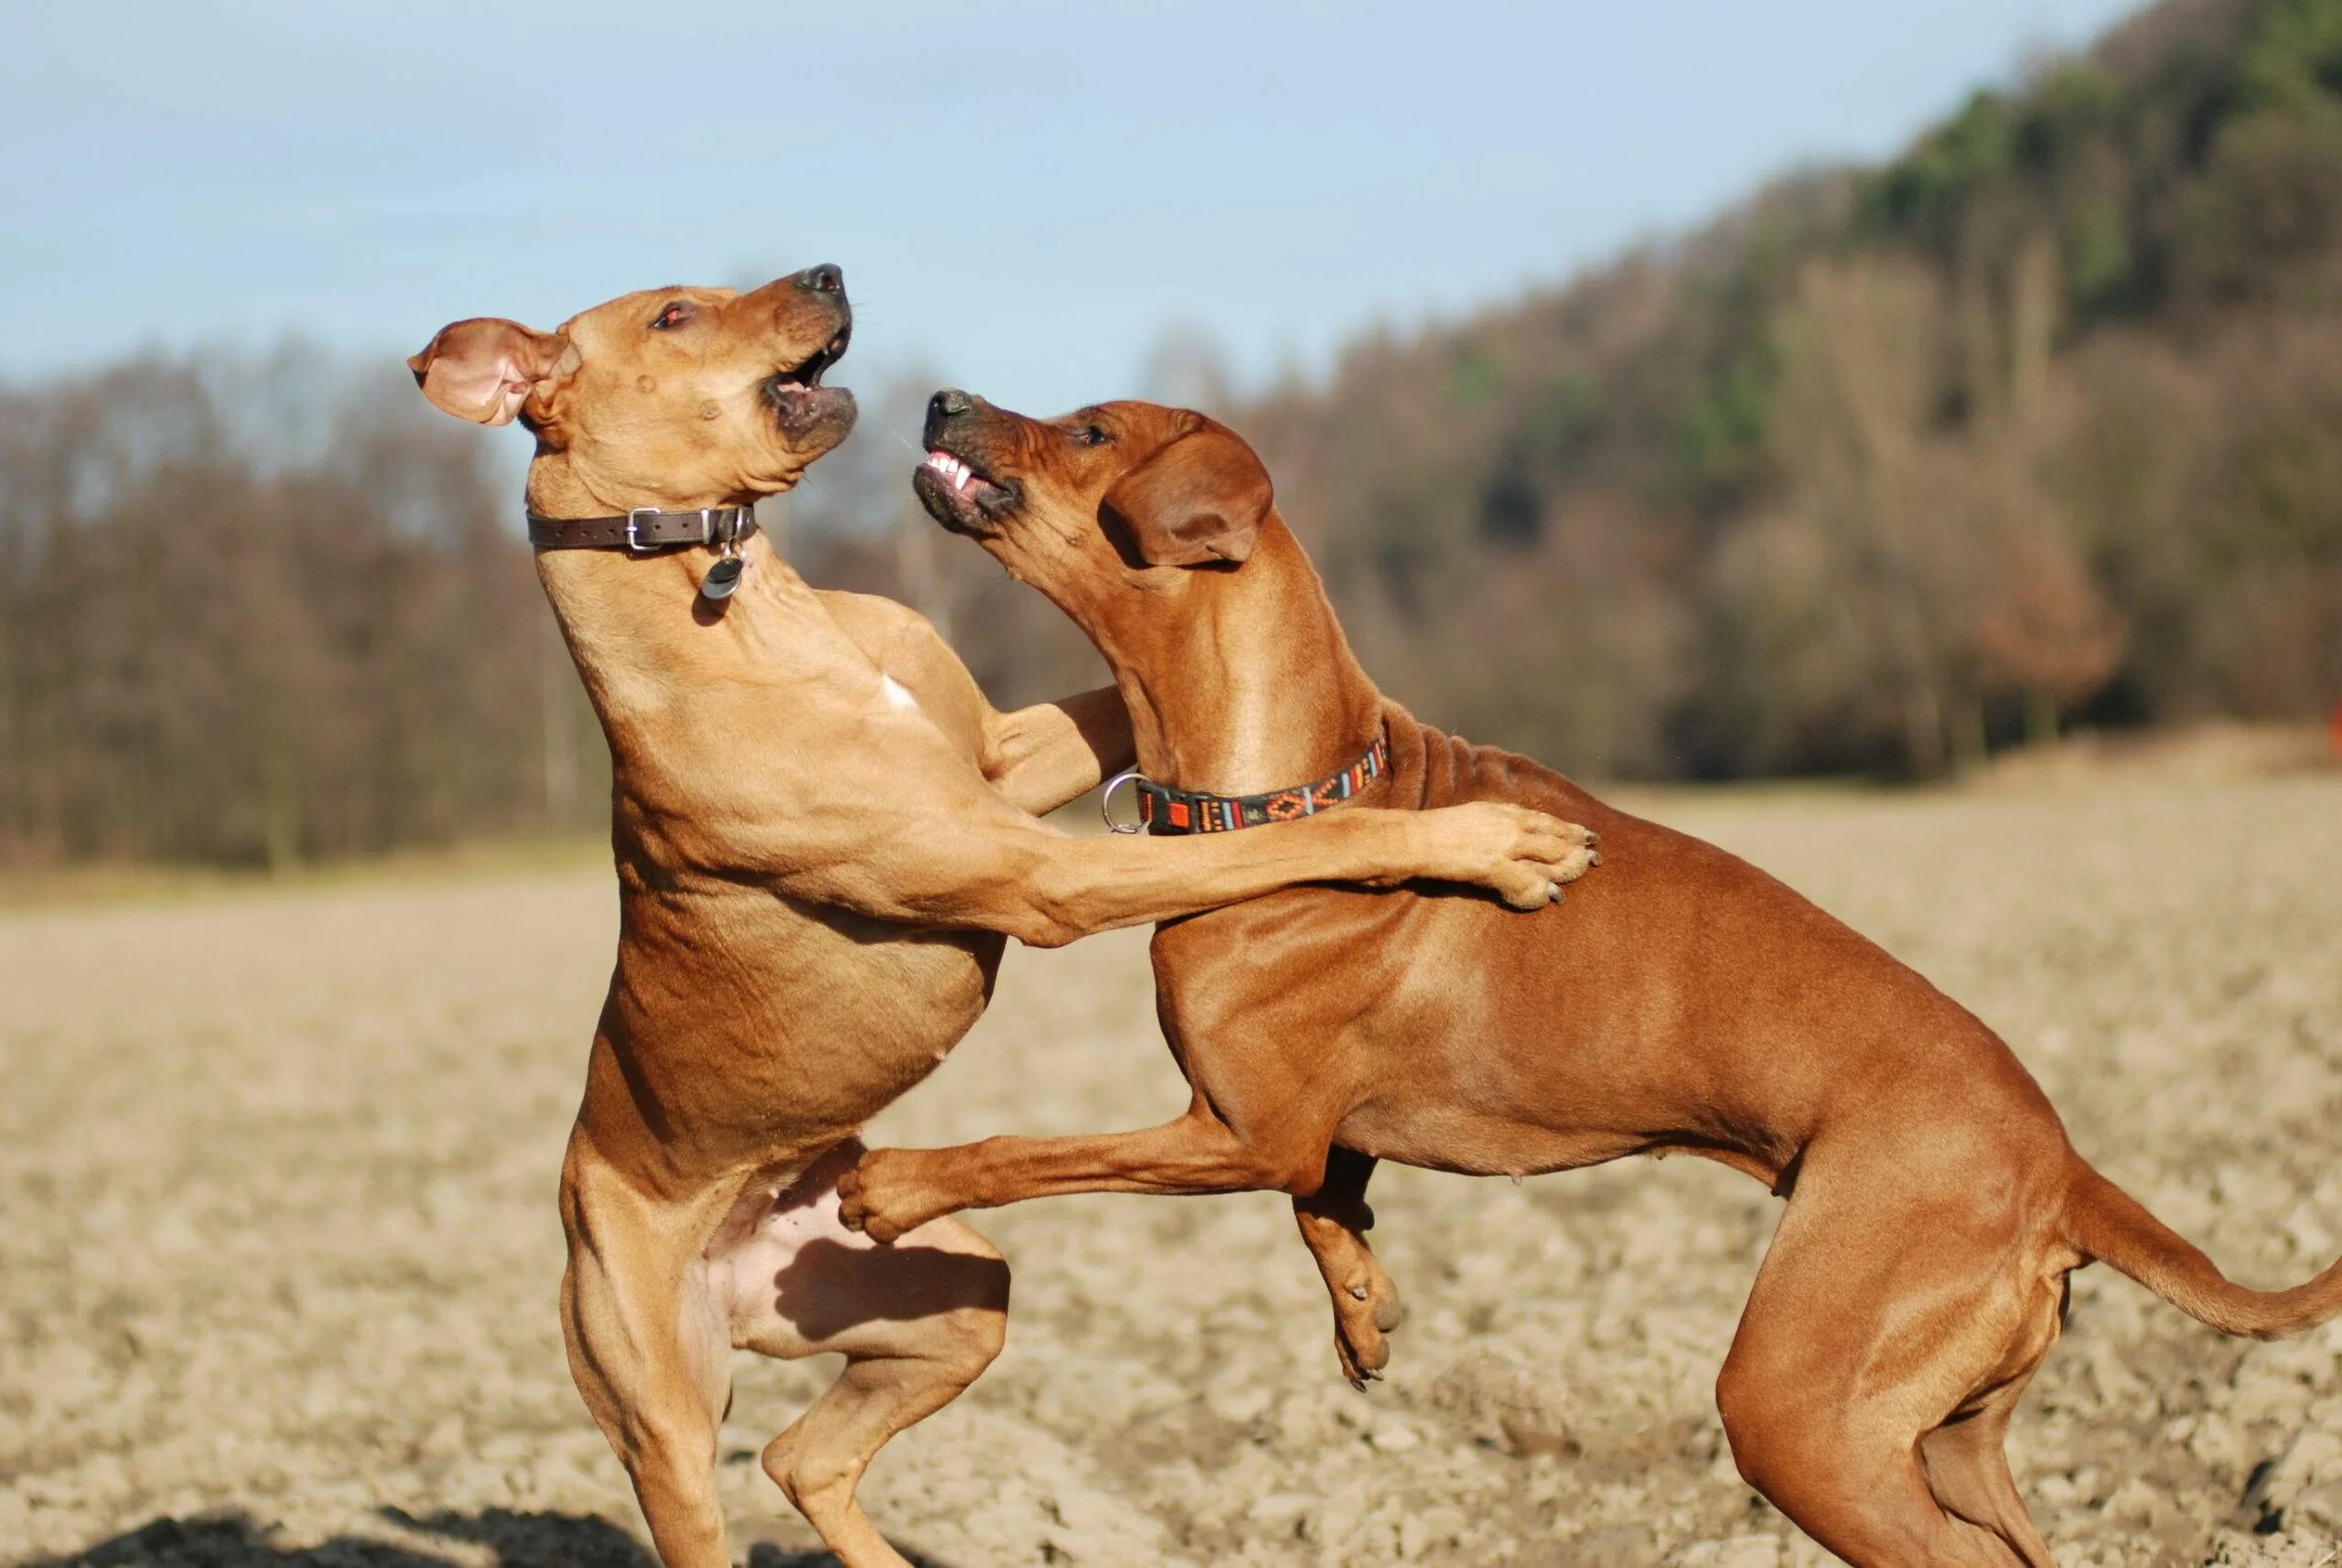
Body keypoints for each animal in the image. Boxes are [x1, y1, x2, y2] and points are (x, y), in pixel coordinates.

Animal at [412, 274, 1602, 1568]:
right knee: (718, 1477)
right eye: (674, 314)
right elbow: (1287, 841)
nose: (827, 273)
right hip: (663, 1421)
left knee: (802, 1454)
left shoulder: (1003, 759)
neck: (741, 611)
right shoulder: (1038, 875)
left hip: (950, 1301)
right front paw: (1496, 840)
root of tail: (733, 1249)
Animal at [838, 392, 2342, 1568]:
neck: (1295, 789)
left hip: (1801, 1407)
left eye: (1093, 429)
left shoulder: (1231, 1132)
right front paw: (1365, 1312)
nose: (942, 400)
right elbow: (1327, 1202)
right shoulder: (1291, 1134)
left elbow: (1035, 1150)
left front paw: (898, 1186)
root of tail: (2063, 1165)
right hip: (1951, 1432)